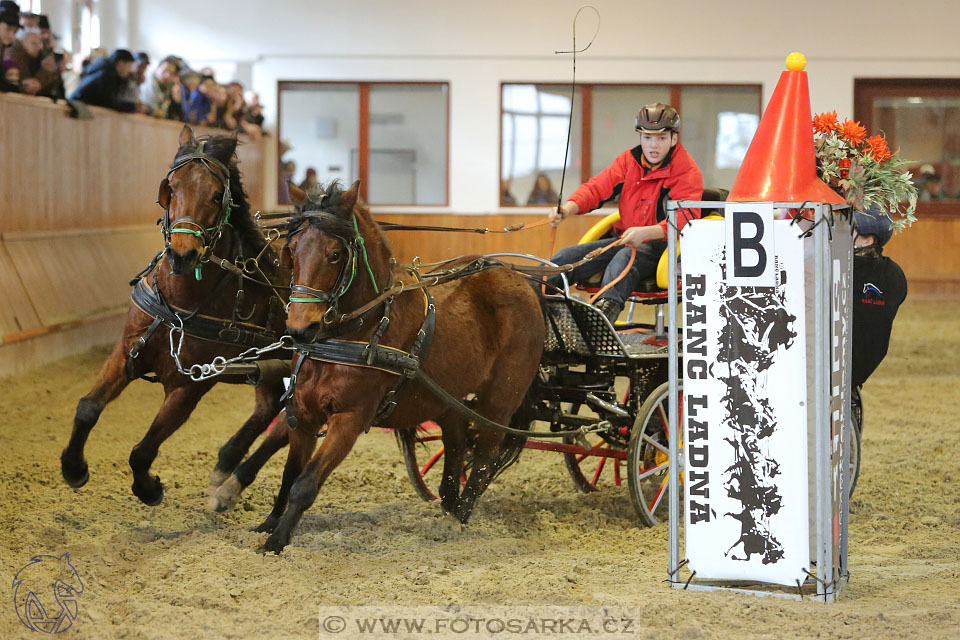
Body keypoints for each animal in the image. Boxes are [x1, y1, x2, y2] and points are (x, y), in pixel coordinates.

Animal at [62, 125, 288, 504]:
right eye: (170, 189)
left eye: (217, 195)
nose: (183, 255)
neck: (180, 301)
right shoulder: (127, 351)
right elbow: (87, 408)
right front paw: (73, 468)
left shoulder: (189, 385)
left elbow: (143, 450)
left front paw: (149, 488)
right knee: (268, 407)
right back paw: (224, 465)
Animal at [255, 181, 544, 556]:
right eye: (290, 250)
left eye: (335, 255)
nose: (301, 329)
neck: (361, 329)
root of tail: (517, 277)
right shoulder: (303, 415)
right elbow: (289, 474)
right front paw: (269, 524)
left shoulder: (350, 418)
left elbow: (305, 483)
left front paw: (277, 541)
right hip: (449, 397)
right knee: (456, 443)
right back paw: (448, 505)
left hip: (500, 399)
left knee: (484, 454)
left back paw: (461, 516)